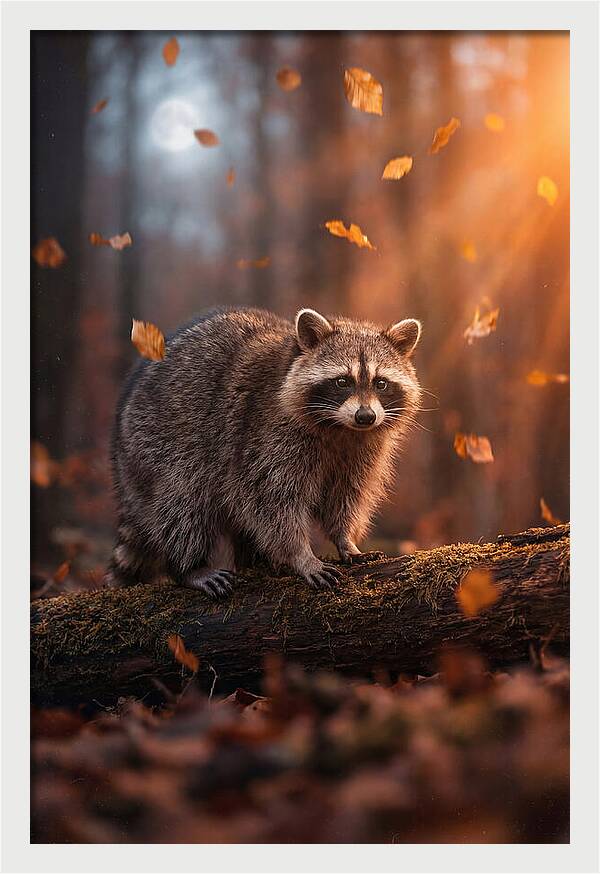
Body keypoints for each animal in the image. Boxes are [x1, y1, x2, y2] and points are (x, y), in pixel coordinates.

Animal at [107, 306, 422, 598]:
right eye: (343, 381)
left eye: (381, 383)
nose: (365, 416)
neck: (341, 428)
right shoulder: (264, 435)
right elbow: (273, 501)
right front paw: (301, 555)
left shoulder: (362, 450)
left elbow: (345, 496)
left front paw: (345, 539)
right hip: (157, 444)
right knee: (183, 503)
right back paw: (189, 567)